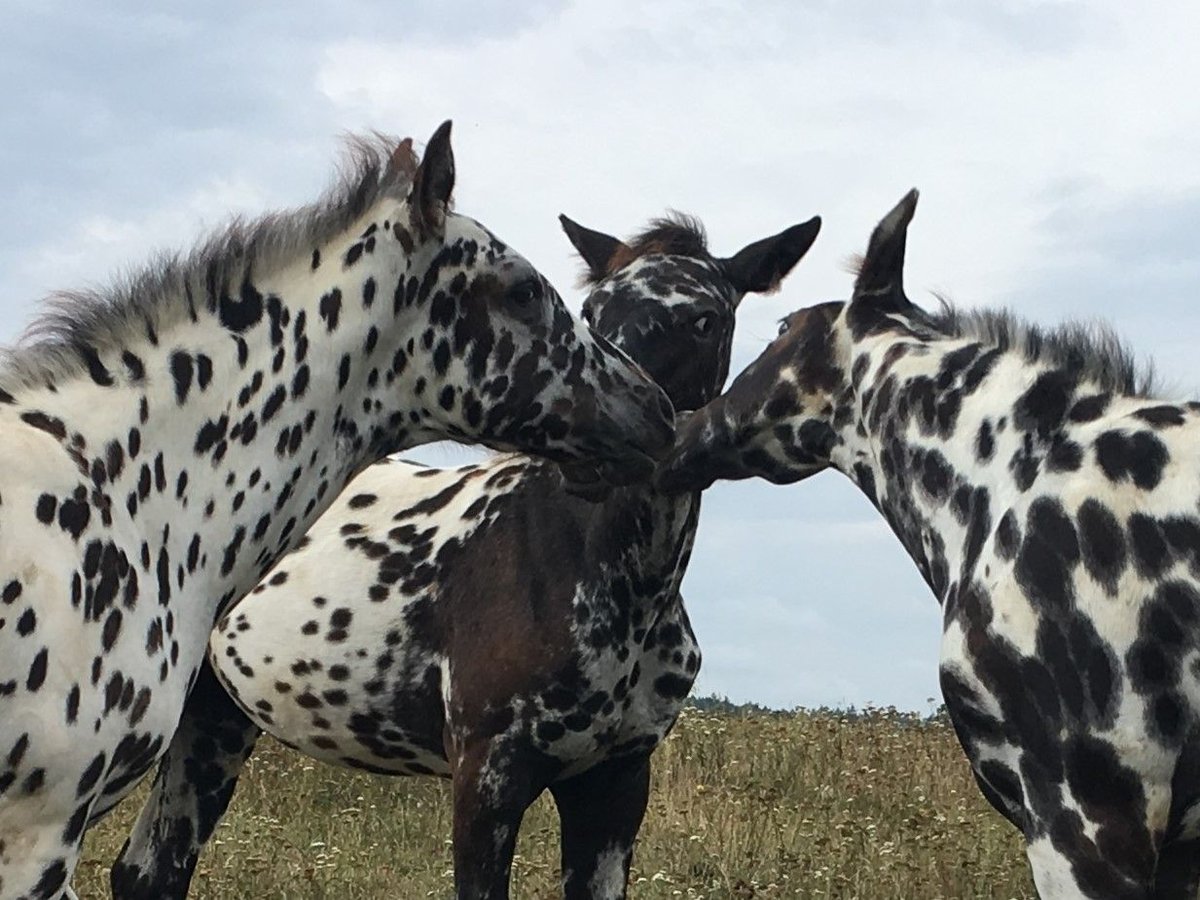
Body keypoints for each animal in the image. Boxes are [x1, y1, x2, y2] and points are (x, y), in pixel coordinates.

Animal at [124, 207, 825, 897]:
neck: (600, 578)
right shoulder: (487, 779)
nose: (606, 448)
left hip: (213, 719)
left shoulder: (615, 785)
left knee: (149, 872)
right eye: (592, 310)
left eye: (704, 319)